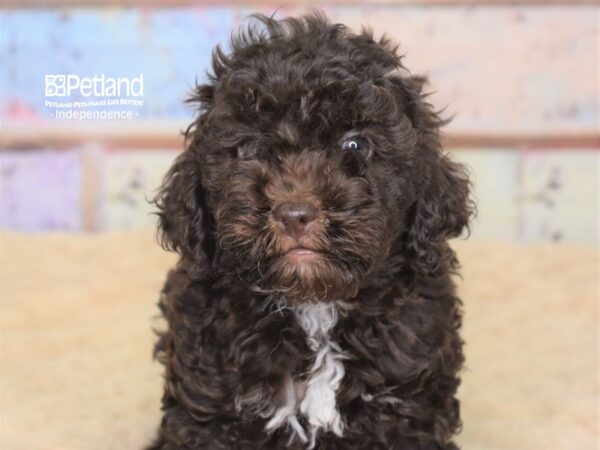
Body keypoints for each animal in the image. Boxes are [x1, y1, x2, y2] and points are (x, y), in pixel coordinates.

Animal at [149, 12, 474, 450]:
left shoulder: (409, 403)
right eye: (248, 149)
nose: (295, 214)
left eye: (355, 144)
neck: (315, 306)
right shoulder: (212, 406)